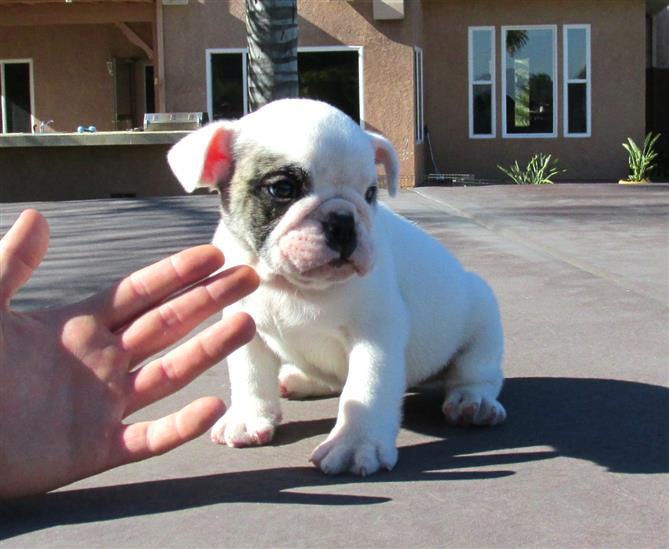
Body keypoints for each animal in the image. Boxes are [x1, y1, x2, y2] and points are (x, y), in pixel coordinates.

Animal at [166, 98, 500, 476]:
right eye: (283, 189)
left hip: (483, 314)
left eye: (370, 193)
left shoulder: (376, 333)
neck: (293, 285)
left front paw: (355, 444)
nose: (343, 220)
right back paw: (300, 380)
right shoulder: (242, 323)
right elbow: (248, 372)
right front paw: (248, 418)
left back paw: (473, 401)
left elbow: (366, 386)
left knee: (475, 370)